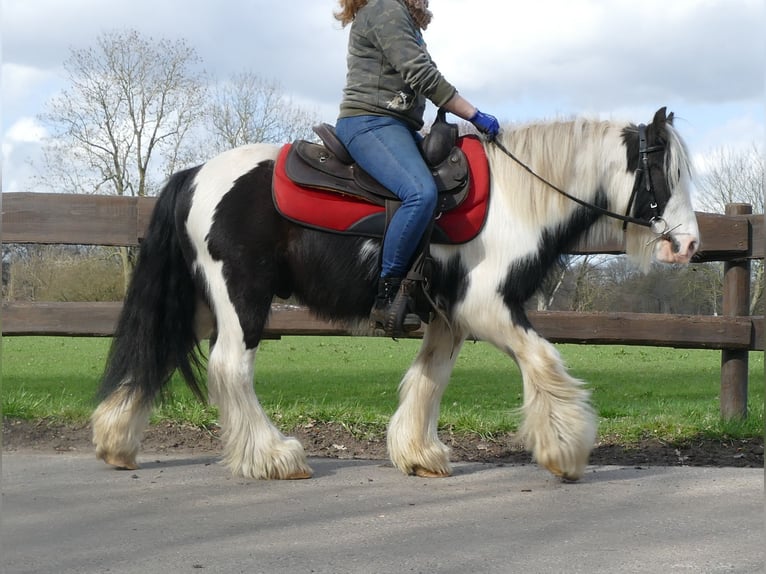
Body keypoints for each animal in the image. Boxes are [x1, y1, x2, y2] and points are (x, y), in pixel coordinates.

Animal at [91, 107, 704, 482]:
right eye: (666, 174)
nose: (690, 244)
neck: (516, 199)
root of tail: (195, 174)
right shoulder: (489, 306)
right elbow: (545, 361)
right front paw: (565, 450)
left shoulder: (450, 317)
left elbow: (430, 379)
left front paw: (418, 453)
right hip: (244, 300)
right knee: (229, 368)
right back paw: (273, 456)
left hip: (200, 301)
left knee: (157, 348)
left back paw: (117, 441)